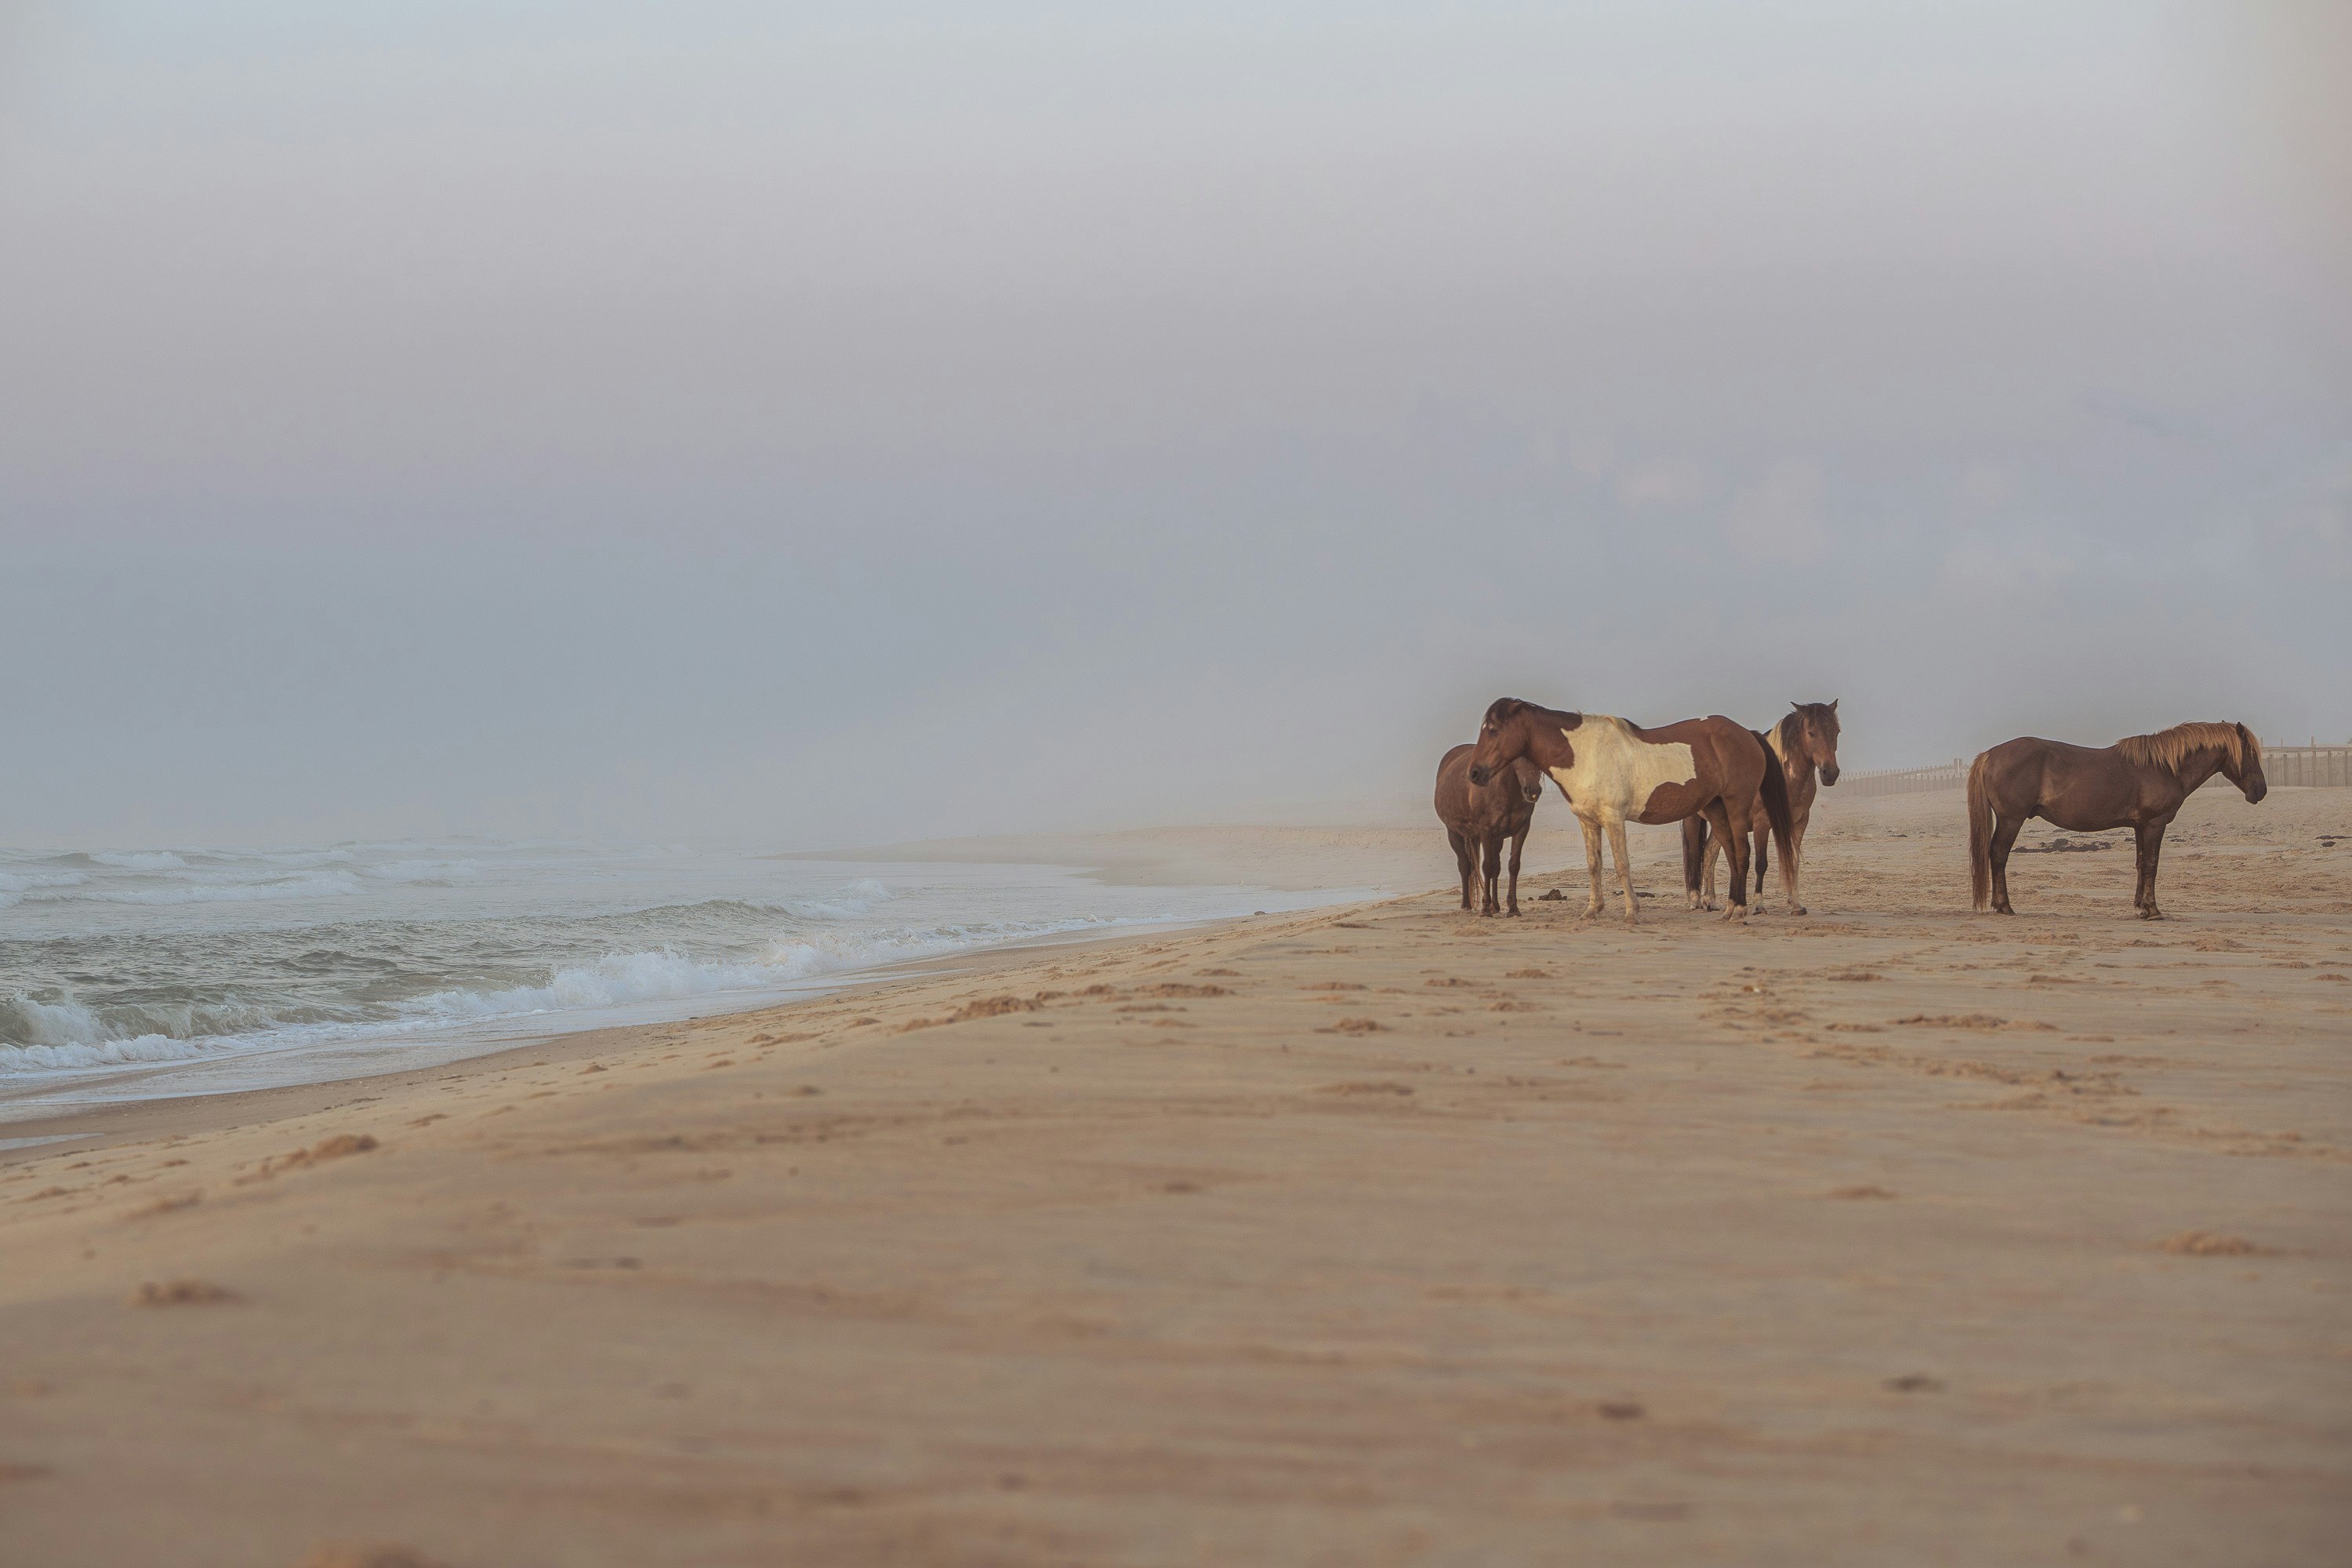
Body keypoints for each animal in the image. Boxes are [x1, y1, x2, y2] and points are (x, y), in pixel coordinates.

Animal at [1434, 744, 1546, 916]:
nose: (1533, 791)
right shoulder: (1486, 832)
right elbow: (1487, 867)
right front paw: (1485, 909)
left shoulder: (1521, 830)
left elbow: (1513, 865)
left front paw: (1513, 909)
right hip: (1454, 833)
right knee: (1465, 865)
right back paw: (1466, 905)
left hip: (1496, 839)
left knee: (1496, 867)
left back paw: (1496, 906)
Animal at [1468, 699, 1793, 925]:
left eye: (1494, 730)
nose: (1474, 773)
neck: (1583, 753)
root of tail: (1747, 734)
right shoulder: (1588, 822)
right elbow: (1594, 865)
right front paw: (1592, 910)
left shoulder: (1613, 819)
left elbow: (1621, 865)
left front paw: (1631, 912)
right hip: (1715, 810)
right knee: (1729, 853)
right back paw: (1728, 910)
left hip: (1736, 807)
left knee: (1742, 854)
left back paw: (1739, 911)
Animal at [1682, 700, 1841, 914]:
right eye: (1811, 732)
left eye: (1837, 731)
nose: (1830, 773)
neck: (1782, 776)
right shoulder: (1762, 823)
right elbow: (1761, 864)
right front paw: (1759, 905)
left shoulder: (1799, 823)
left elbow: (1793, 861)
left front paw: (1796, 904)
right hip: (1692, 818)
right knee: (1693, 854)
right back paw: (1695, 900)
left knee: (1709, 853)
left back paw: (1711, 901)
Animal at [1968, 721, 2266, 919]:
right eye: (2251, 753)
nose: (2261, 791)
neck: (2164, 767)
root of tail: (1989, 755)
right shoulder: (2155, 824)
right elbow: (2151, 864)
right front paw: (2153, 909)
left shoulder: (2140, 826)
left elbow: (2140, 864)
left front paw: (2140, 907)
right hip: (2011, 820)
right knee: (1998, 855)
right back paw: (2004, 906)